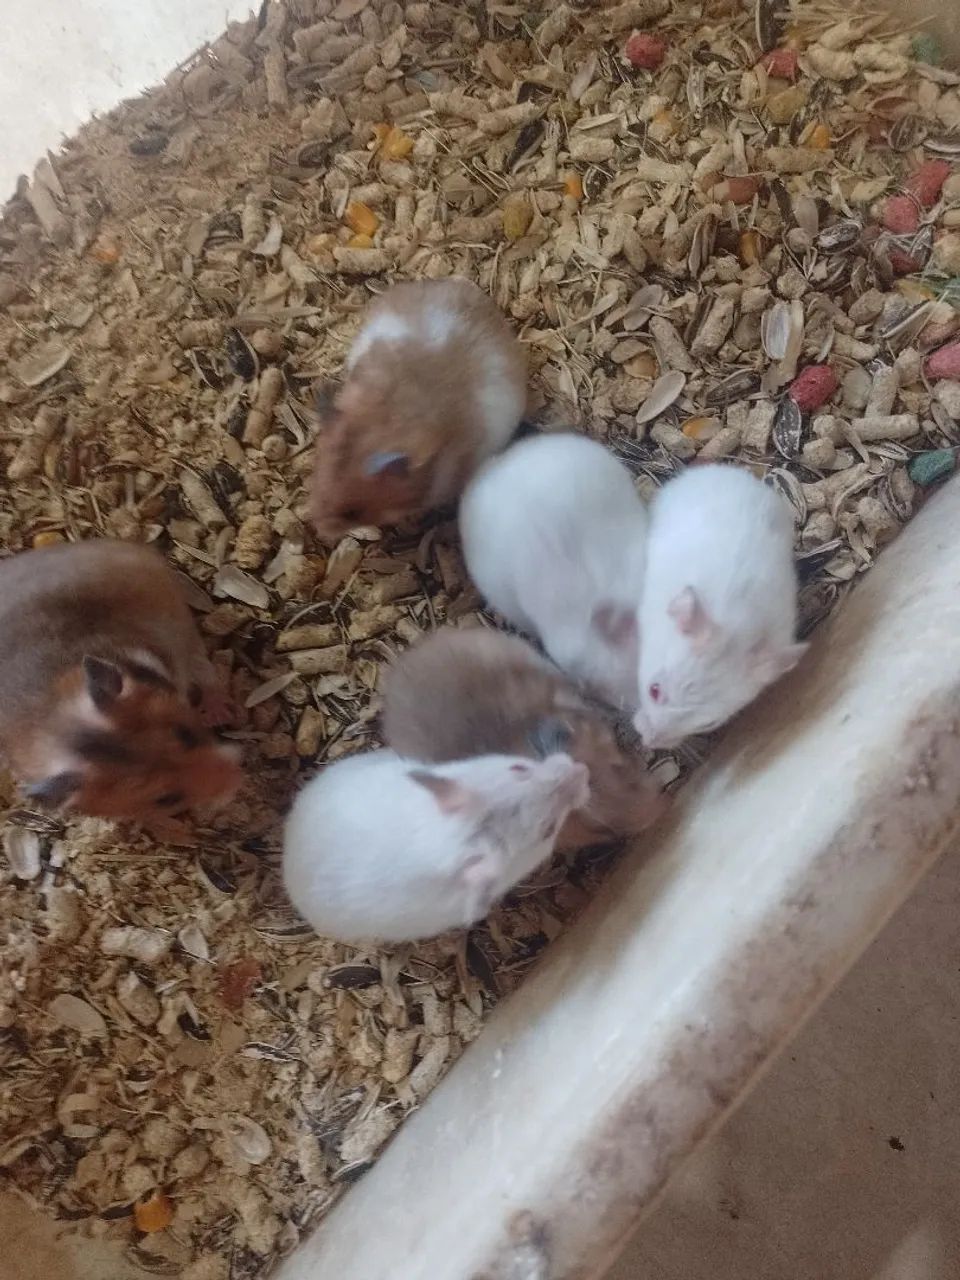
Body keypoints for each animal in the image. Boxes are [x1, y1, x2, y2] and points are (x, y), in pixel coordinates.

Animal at [0, 539, 242, 825]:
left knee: (203, 670)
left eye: (187, 735)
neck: (53, 722)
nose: (239, 776)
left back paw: (219, 713)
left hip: (180, 626)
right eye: (166, 800)